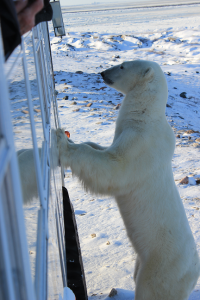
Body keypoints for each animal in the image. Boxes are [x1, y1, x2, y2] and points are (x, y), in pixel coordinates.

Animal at [55, 59, 199, 298]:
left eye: (122, 66)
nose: (103, 72)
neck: (147, 113)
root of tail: (193, 274)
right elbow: (102, 149)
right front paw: (73, 139)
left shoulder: (143, 142)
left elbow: (116, 166)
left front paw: (63, 144)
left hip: (162, 265)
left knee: (151, 288)